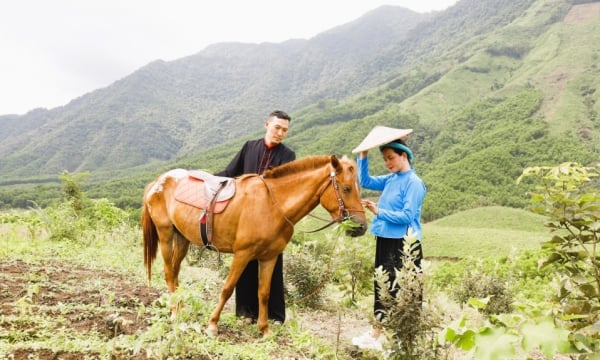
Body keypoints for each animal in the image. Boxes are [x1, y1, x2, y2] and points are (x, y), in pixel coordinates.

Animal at [142, 154, 366, 334]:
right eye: (346, 189)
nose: (361, 227)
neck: (272, 205)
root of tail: (157, 182)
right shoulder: (242, 254)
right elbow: (227, 288)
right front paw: (213, 324)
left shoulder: (269, 257)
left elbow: (264, 293)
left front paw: (264, 329)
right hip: (165, 234)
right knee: (169, 272)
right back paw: (174, 312)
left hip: (182, 238)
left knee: (175, 272)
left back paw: (180, 307)